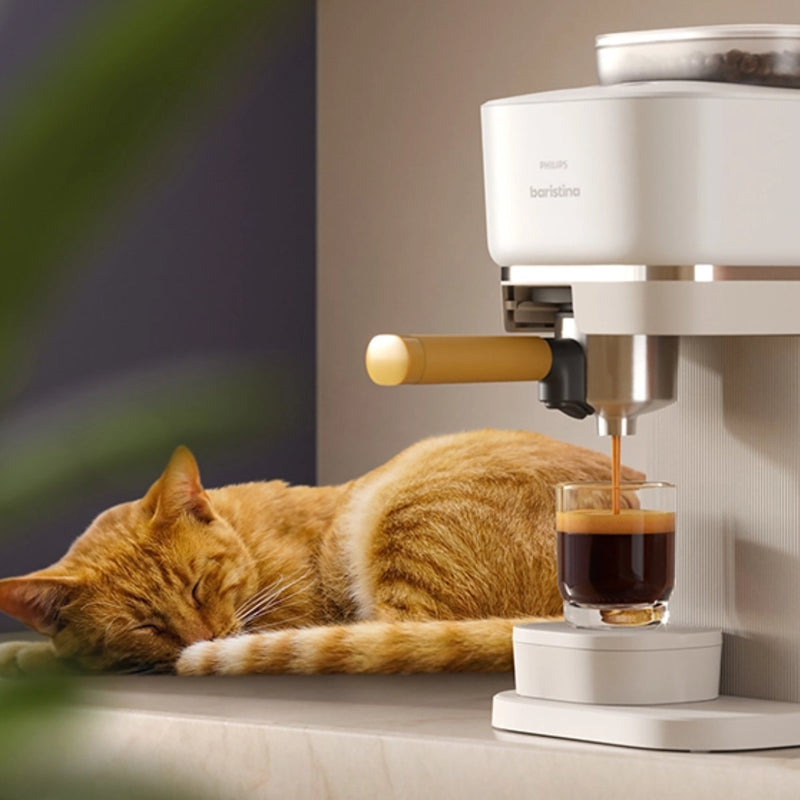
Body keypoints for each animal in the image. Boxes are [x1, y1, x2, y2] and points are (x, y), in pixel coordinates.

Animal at [0, 432, 636, 676]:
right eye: (144, 624)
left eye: (200, 583)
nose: (205, 639)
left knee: (390, 636)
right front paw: (23, 651)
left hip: (406, 513)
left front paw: (34, 656)